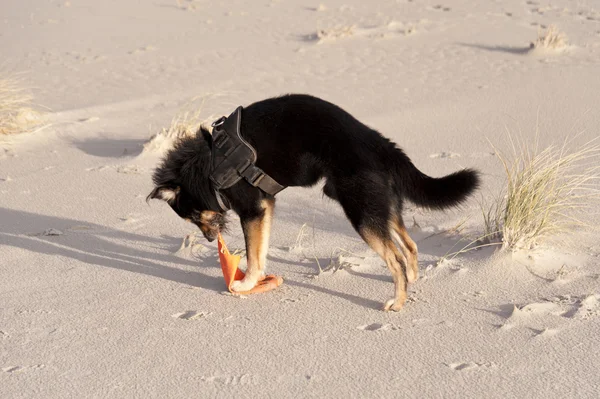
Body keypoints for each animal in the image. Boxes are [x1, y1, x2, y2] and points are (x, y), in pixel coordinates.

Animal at [148, 94, 480, 312]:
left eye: (193, 216)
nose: (209, 239)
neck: (209, 164)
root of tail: (380, 143)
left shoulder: (252, 209)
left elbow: (253, 256)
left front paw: (244, 284)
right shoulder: (264, 207)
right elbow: (261, 250)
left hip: (362, 212)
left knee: (395, 258)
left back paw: (396, 302)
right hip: (382, 207)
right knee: (409, 247)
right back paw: (411, 282)